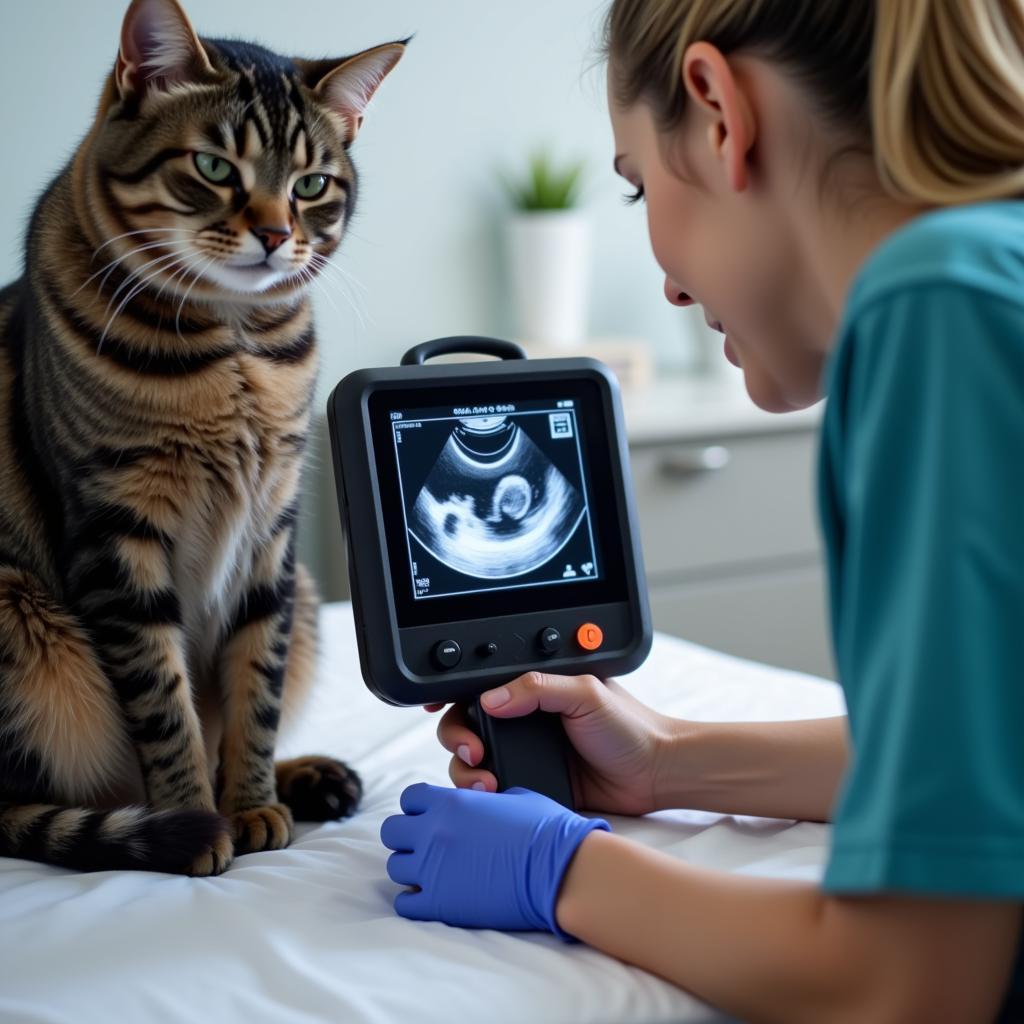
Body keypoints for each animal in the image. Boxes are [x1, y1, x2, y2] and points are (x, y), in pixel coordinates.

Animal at [0, 2, 403, 880]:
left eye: (310, 184)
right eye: (215, 167)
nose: (276, 234)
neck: (234, 346)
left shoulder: (272, 537)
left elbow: (254, 692)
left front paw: (252, 803)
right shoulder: (118, 533)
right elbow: (167, 705)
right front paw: (197, 820)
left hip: (307, 593)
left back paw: (308, 778)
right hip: (22, 618)